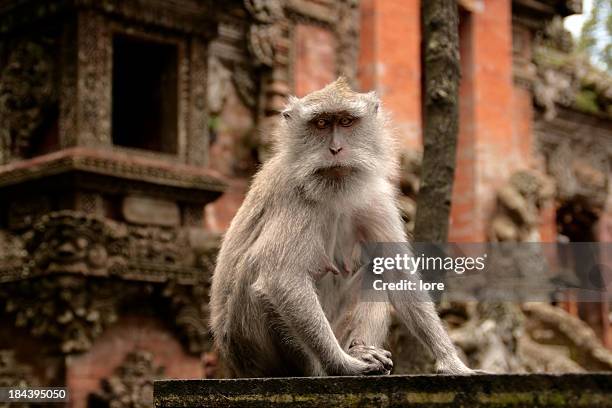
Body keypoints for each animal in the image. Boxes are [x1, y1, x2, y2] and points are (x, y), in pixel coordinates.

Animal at [210, 76, 474, 376]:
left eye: (346, 121)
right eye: (321, 123)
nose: (335, 149)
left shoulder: (375, 196)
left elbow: (397, 274)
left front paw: (451, 361)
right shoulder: (293, 194)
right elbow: (281, 277)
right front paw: (344, 365)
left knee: (375, 268)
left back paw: (360, 348)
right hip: (255, 344)